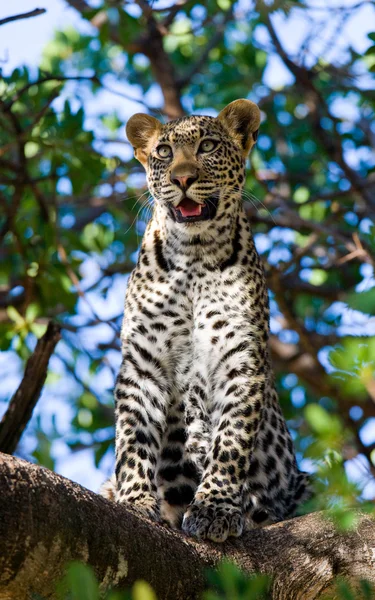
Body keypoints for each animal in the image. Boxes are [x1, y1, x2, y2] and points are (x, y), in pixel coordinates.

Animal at [101, 99, 312, 544]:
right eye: (164, 152)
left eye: (208, 146)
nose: (182, 178)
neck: (194, 256)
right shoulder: (143, 363)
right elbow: (133, 438)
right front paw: (135, 500)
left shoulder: (240, 359)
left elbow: (231, 440)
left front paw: (215, 507)